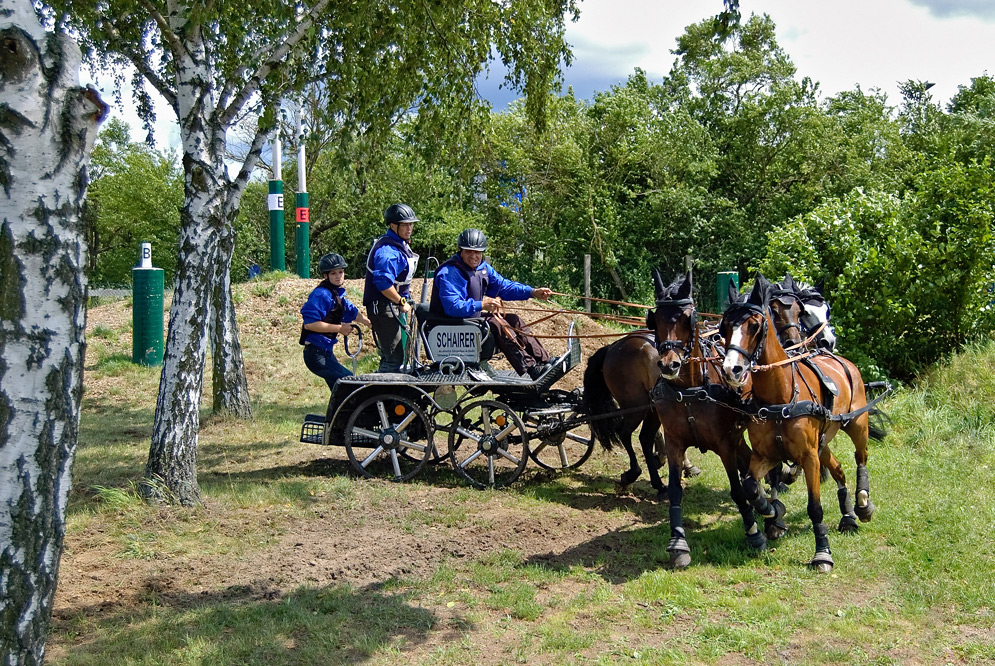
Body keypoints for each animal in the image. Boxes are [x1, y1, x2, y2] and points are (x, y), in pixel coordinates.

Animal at [648, 270, 768, 564]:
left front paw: (754, 534)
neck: (689, 390)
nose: (669, 364)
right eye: (655, 319)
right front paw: (678, 543)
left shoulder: (724, 443)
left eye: (686, 318)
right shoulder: (675, 443)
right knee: (748, 461)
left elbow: (737, 489)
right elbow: (675, 490)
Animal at [720, 274, 884, 572]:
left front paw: (822, 553)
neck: (781, 396)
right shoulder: (766, 455)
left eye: (754, 325)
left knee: (861, 458)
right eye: (725, 326)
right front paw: (772, 512)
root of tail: (837, 358)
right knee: (839, 469)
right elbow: (751, 487)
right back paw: (848, 516)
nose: (731, 370)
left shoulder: (808, 457)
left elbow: (814, 507)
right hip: (824, 442)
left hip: (856, 425)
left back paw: (862, 504)